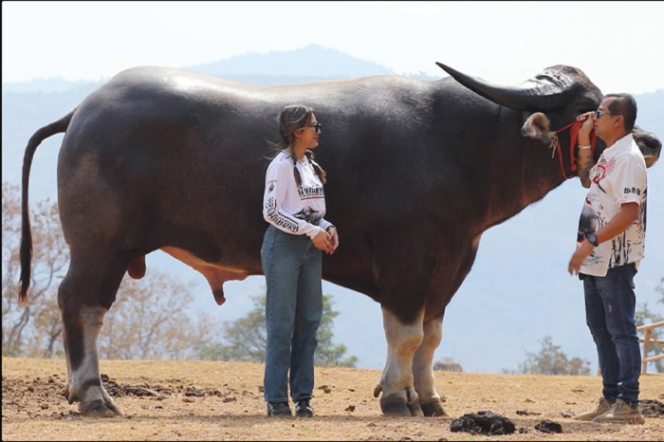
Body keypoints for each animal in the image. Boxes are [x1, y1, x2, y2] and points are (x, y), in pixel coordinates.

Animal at [19, 63, 660, 418]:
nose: (649, 142)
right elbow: (405, 335)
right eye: (590, 106)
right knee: (82, 305)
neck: (459, 147)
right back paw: (93, 395)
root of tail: (84, 110)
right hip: (99, 247)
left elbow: (430, 338)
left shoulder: (450, 265)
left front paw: (429, 400)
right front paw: (397, 399)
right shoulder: (408, 265)